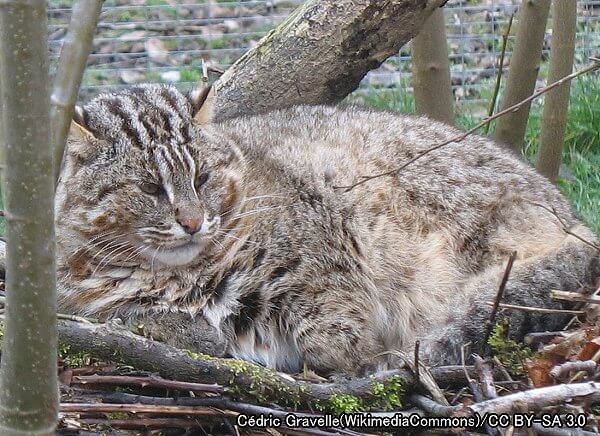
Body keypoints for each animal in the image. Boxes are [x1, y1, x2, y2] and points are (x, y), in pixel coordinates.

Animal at [54, 83, 596, 372]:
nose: (192, 221)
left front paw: (349, 358)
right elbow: (135, 315)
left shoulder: (321, 245)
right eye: (150, 188)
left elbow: (332, 317)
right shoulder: (85, 301)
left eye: (202, 177)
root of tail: (570, 214)